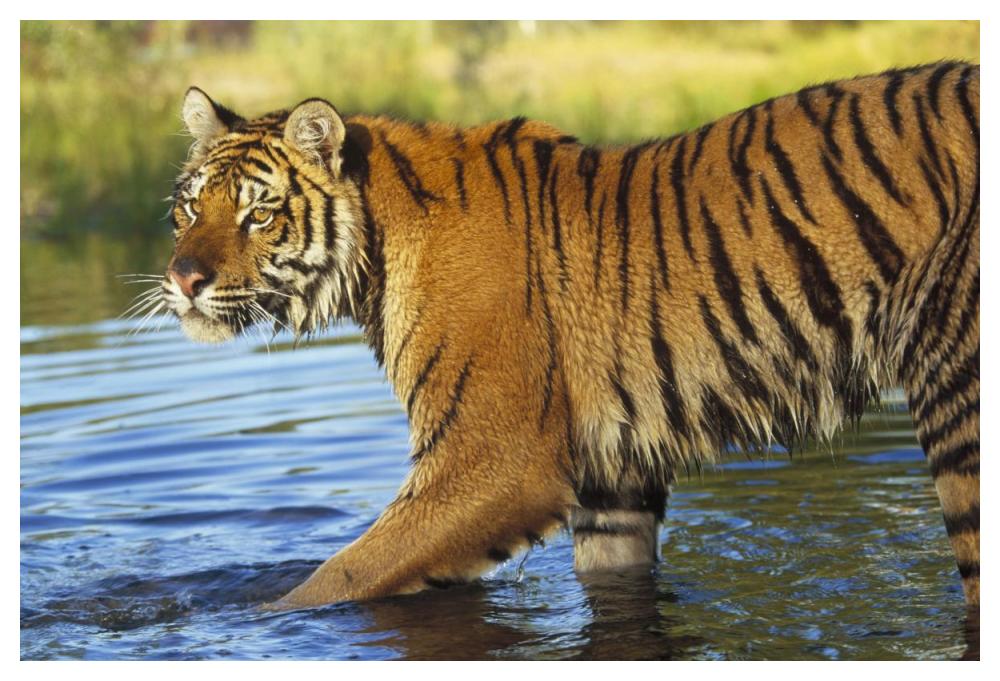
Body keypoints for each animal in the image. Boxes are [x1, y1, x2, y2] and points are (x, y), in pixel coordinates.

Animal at [158, 61, 979, 610]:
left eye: (258, 214)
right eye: (189, 208)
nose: (183, 278)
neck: (375, 258)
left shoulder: (493, 461)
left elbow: (337, 577)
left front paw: (254, 618)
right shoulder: (614, 473)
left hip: (957, 394)